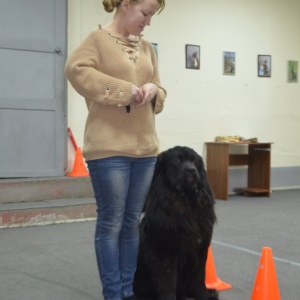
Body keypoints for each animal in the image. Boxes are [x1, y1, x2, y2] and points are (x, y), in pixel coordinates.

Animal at [134, 146, 218, 300]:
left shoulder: (200, 249)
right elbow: (167, 282)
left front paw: (204, 295)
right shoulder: (166, 253)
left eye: (195, 162)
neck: (185, 202)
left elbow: (199, 277)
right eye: (177, 161)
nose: (191, 170)